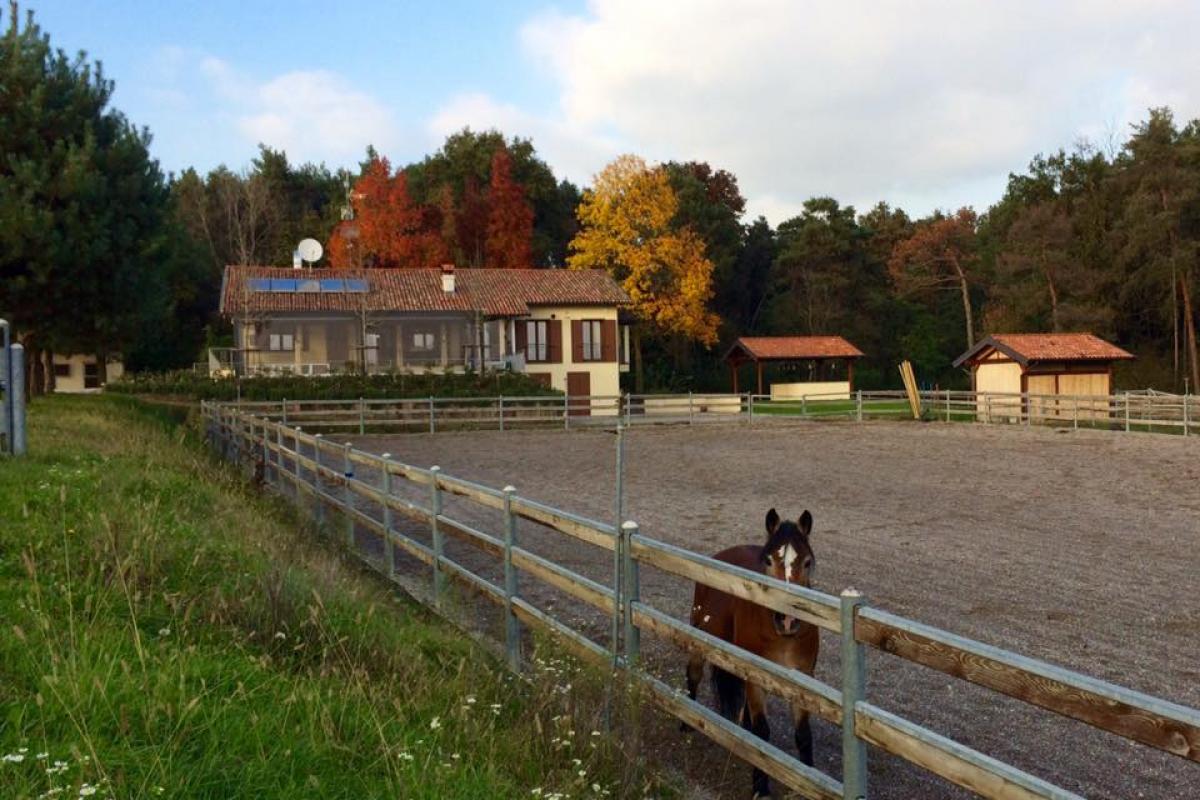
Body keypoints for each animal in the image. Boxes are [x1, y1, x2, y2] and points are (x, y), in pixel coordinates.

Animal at [691, 510, 820, 796]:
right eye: (769, 560)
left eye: (807, 562)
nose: (787, 619)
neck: (782, 637)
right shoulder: (755, 676)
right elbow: (763, 732)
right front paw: (760, 788)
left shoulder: (803, 680)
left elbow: (804, 735)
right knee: (692, 676)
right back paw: (686, 722)